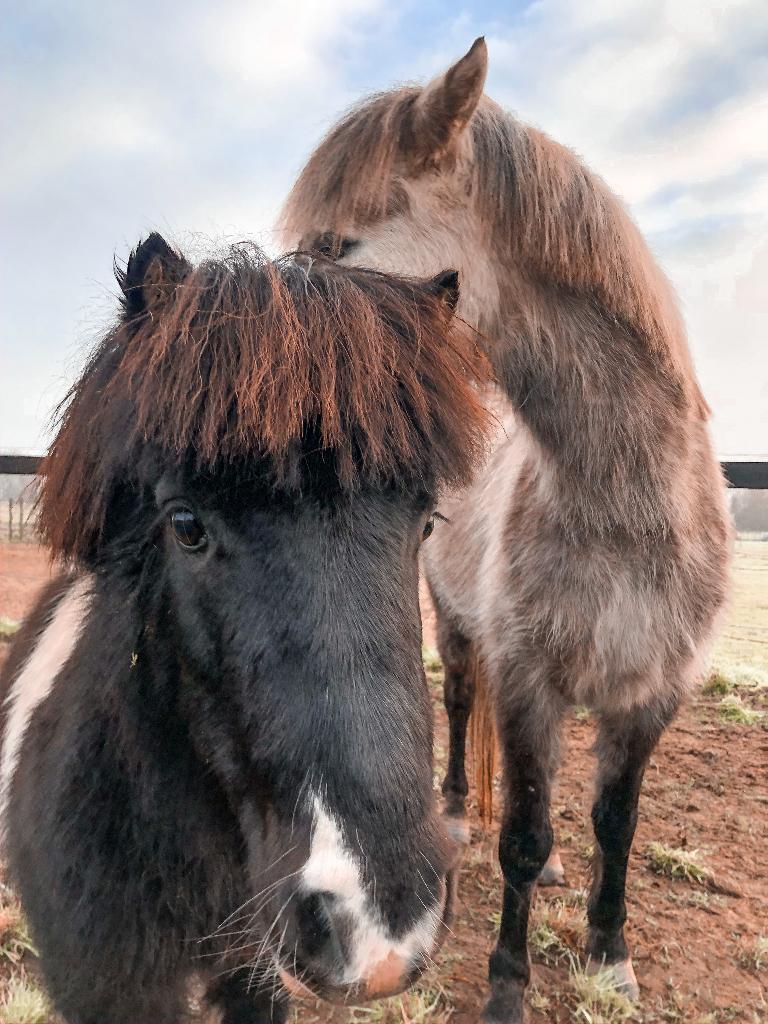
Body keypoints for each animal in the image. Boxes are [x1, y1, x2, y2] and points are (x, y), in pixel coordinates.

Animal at [280, 37, 732, 1024]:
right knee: (457, 705)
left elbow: (615, 822)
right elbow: (520, 833)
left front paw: (609, 953)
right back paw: (454, 809)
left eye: (336, 247)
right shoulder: (526, 685)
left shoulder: (652, 696)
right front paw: (505, 986)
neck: (626, 512)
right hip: (454, 626)